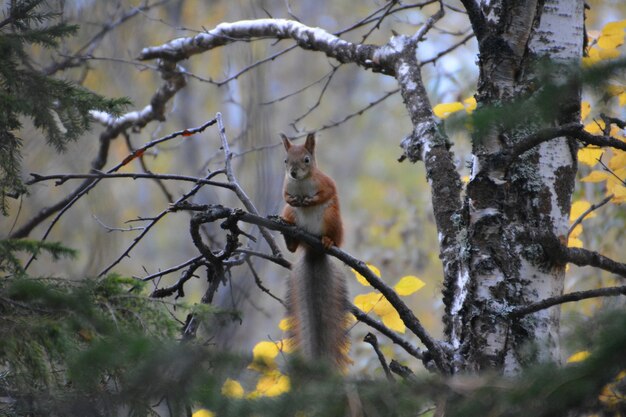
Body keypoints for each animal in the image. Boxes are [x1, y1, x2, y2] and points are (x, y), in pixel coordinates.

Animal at [280, 132, 348, 368]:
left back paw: (327, 241)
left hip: (332, 219)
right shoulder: (286, 187)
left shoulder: (325, 183)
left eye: (307, 159)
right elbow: (285, 195)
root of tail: (313, 250)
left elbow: (327, 192)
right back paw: (289, 236)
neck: (301, 184)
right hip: (288, 212)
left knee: (334, 239)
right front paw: (294, 198)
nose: (293, 173)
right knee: (292, 242)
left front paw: (310, 200)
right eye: (285, 160)